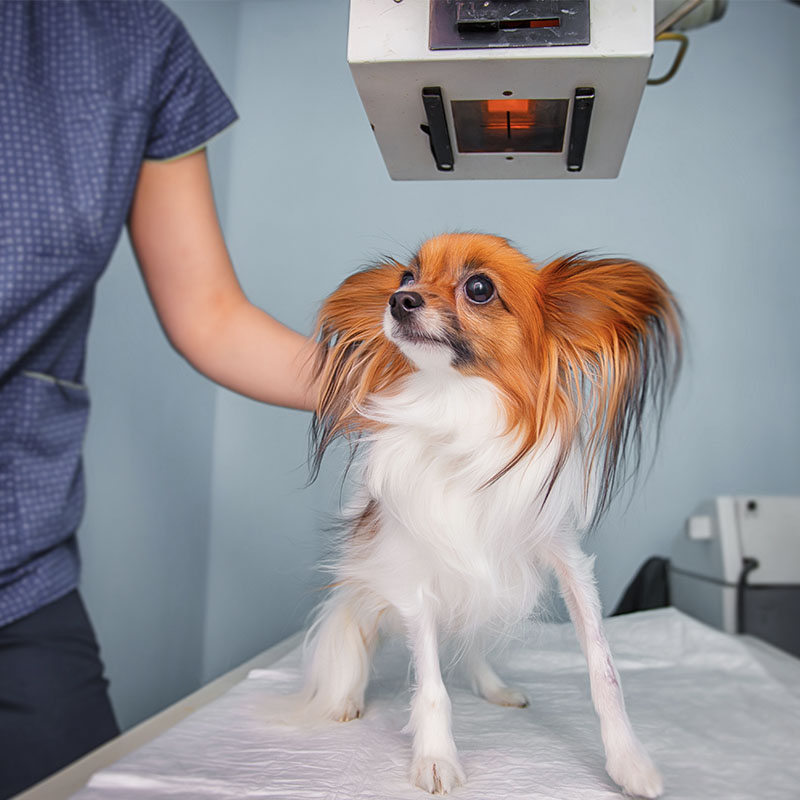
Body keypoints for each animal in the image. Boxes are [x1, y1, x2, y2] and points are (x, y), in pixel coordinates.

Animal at [300, 231, 680, 792]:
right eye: (407, 277)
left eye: (479, 288)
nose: (397, 299)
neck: (456, 403)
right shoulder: (414, 580)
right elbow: (431, 685)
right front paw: (436, 758)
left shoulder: (567, 561)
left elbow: (604, 669)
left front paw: (629, 761)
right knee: (354, 627)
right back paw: (346, 697)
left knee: (471, 641)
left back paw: (494, 687)